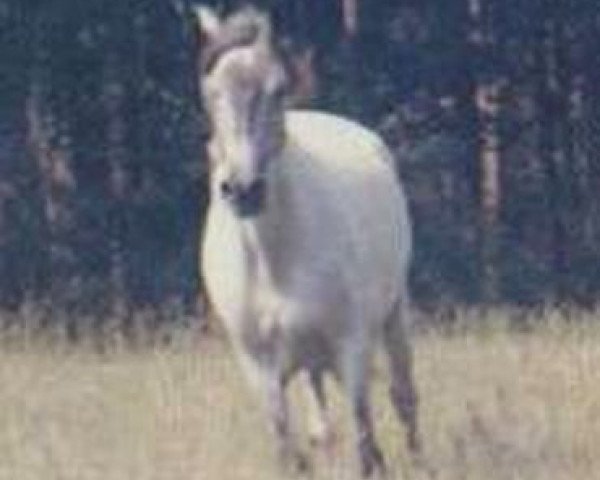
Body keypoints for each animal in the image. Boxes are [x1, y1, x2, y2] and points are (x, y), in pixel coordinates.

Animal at [195, 6, 420, 476]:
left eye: (277, 89)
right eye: (210, 93)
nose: (243, 190)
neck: (273, 259)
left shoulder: (351, 348)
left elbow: (365, 440)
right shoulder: (261, 370)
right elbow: (289, 449)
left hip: (393, 312)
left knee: (404, 396)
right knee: (322, 425)